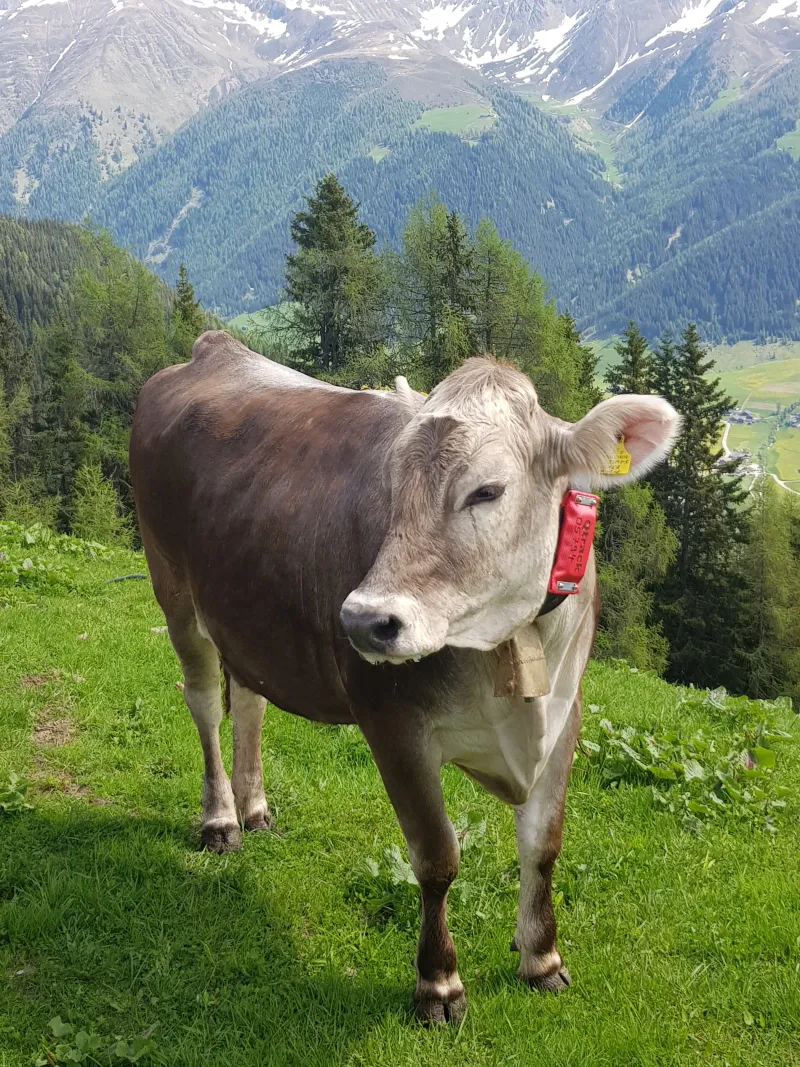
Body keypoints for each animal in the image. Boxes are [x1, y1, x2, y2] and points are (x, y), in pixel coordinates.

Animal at [130, 331, 679, 1024]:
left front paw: (541, 958)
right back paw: (221, 820)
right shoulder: (391, 723)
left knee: (250, 702)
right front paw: (439, 984)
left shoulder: (565, 712)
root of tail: (214, 346)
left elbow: (543, 844)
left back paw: (255, 810)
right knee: (203, 703)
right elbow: (436, 857)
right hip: (173, 588)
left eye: (487, 491)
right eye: (392, 487)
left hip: (244, 613)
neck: (504, 651)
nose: (364, 621)